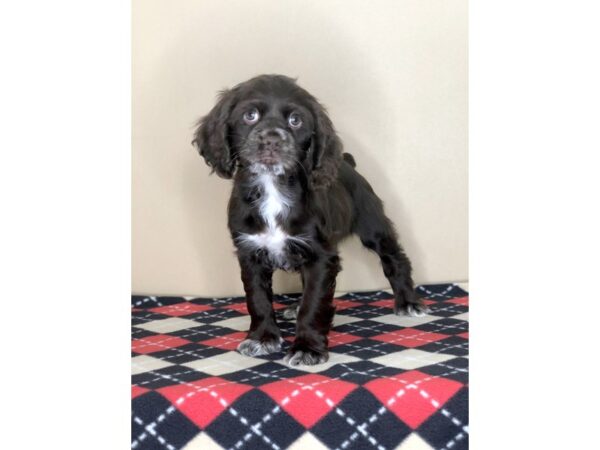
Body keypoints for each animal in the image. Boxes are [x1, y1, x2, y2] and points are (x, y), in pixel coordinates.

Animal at [193, 74, 426, 366]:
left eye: (296, 120)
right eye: (250, 115)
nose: (272, 140)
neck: (273, 186)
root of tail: (347, 162)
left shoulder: (321, 256)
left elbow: (314, 302)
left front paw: (307, 348)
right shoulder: (250, 252)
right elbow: (258, 300)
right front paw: (262, 338)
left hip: (373, 224)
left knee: (395, 259)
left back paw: (407, 301)